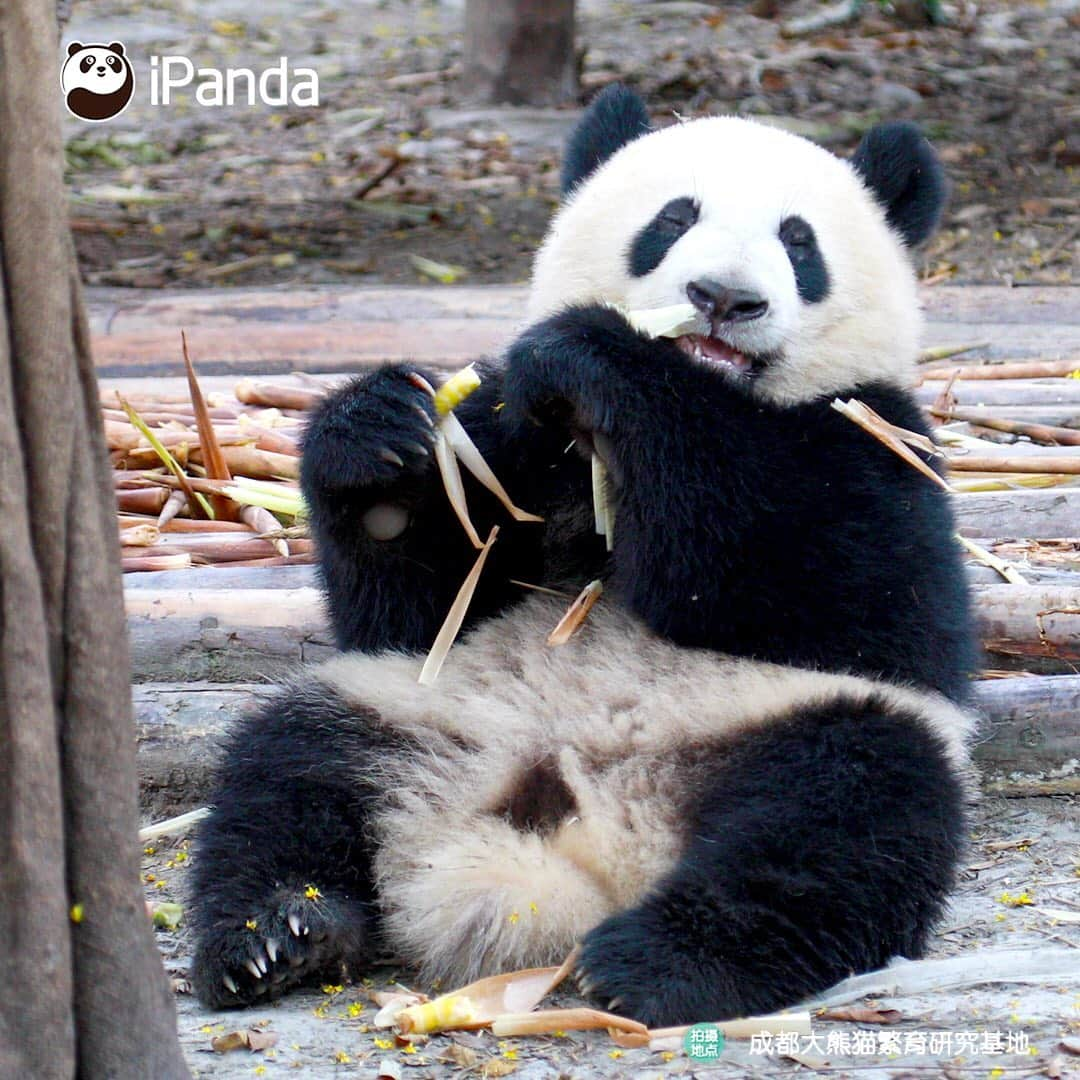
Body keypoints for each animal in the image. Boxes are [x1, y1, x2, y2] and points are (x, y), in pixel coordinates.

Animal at [190, 86, 976, 1028]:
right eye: (673, 219)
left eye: (799, 241)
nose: (722, 298)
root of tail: (575, 847)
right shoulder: (512, 440)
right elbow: (422, 606)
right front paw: (377, 435)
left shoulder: (880, 440)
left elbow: (826, 580)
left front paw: (603, 358)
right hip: (414, 711)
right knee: (285, 774)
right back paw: (278, 934)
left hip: (785, 720)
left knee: (843, 815)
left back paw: (660, 961)